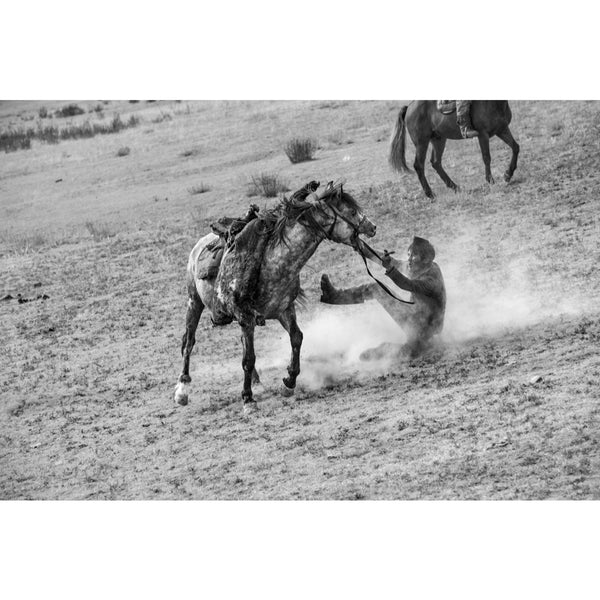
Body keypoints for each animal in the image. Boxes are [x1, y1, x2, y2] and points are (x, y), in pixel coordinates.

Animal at [173, 180, 376, 410]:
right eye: (351, 211)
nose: (372, 227)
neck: (274, 263)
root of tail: (200, 243)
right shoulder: (245, 317)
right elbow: (249, 358)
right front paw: (247, 398)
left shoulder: (283, 310)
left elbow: (296, 338)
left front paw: (289, 382)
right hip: (194, 302)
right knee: (189, 341)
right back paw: (182, 390)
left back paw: (257, 382)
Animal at [390, 101, 520, 199]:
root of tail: (409, 107)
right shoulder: (483, 134)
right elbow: (486, 157)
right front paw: (490, 181)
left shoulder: (502, 129)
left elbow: (516, 147)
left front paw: (508, 175)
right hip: (422, 143)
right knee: (419, 165)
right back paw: (430, 194)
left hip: (438, 139)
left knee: (436, 162)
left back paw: (455, 187)